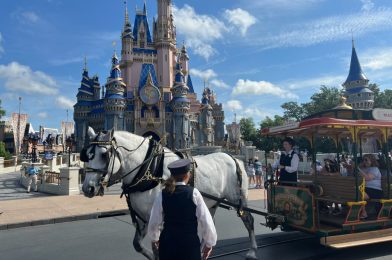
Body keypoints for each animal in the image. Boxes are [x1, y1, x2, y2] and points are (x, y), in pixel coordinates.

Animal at [81, 128, 258, 260]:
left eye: (104, 154)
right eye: (86, 155)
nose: (87, 188)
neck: (149, 169)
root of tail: (233, 158)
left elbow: (159, 248)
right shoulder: (144, 218)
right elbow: (138, 245)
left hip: (238, 198)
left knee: (248, 220)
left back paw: (252, 251)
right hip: (212, 201)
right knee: (210, 224)